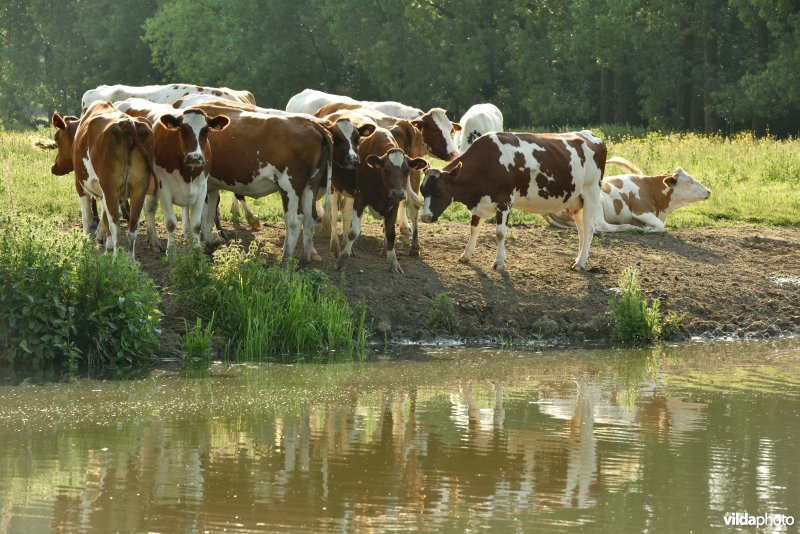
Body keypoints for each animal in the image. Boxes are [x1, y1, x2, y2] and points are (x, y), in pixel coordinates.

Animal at [50, 101, 157, 260]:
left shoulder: (81, 185)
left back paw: (115, 261)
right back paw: (131, 261)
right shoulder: (104, 192)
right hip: (139, 188)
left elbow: (88, 217)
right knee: (132, 226)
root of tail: (128, 123)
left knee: (116, 225)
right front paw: (108, 247)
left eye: (57, 139)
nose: (53, 167)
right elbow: (104, 217)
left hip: (111, 188)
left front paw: (84, 242)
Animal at [328, 127, 428, 274]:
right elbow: (354, 232)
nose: (398, 193)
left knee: (346, 215)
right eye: (386, 169)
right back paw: (335, 247)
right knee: (334, 216)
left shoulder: (393, 203)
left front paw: (394, 263)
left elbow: (391, 233)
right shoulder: (360, 199)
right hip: (334, 187)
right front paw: (342, 261)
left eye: (407, 170)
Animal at [418, 130, 608, 272]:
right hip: (577, 201)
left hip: (591, 192)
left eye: (439, 192)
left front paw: (499, 262)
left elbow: (500, 233)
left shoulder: (504, 201)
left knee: (589, 228)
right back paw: (579, 259)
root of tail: (591, 136)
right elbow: (474, 229)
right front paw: (466, 255)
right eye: (422, 191)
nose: (424, 217)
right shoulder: (480, 201)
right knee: (581, 229)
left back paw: (581, 263)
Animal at [544, 156, 712, 233]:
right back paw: (630, 227)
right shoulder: (640, 210)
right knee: (602, 225)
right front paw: (648, 229)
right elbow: (660, 226)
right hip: (596, 203)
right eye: (689, 181)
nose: (708, 191)